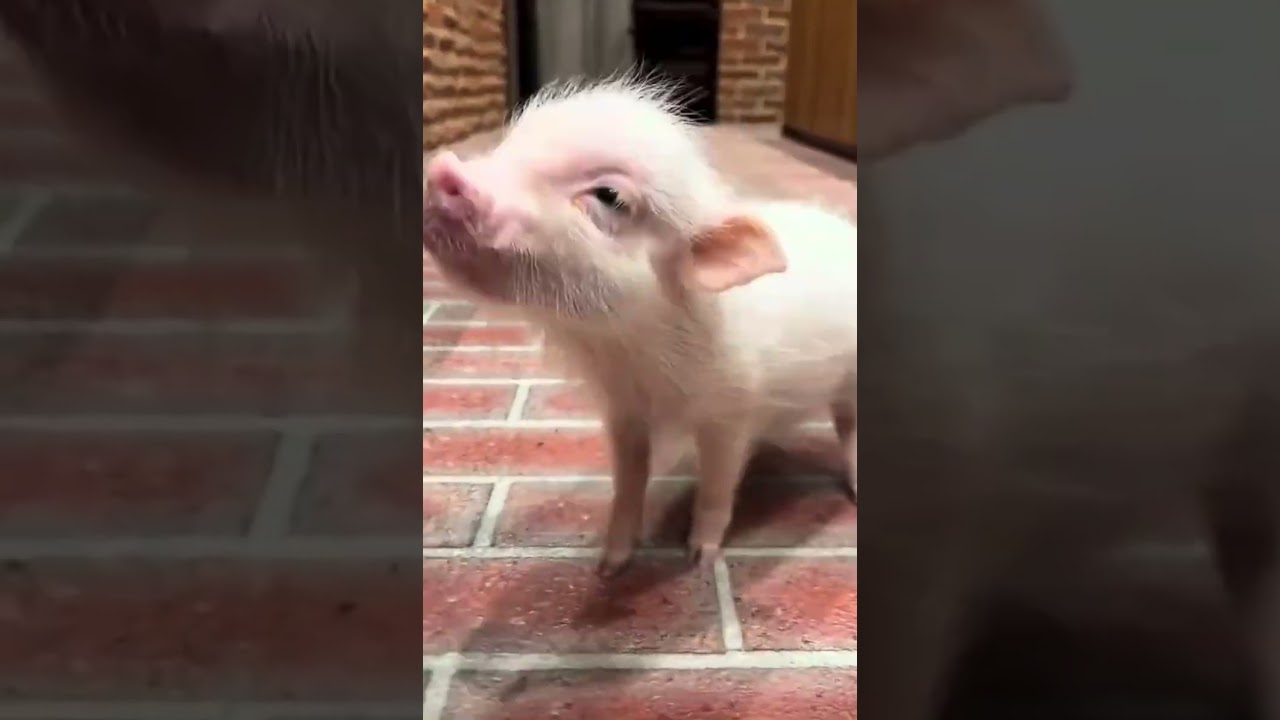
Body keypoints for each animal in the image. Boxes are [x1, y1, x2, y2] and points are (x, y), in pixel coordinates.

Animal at [423, 73, 858, 573]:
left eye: (609, 196)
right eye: (510, 145)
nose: (444, 169)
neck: (630, 354)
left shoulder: (732, 410)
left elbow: (716, 485)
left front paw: (699, 558)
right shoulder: (622, 413)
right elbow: (628, 482)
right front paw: (608, 564)